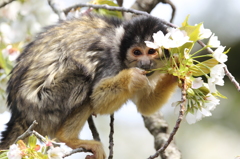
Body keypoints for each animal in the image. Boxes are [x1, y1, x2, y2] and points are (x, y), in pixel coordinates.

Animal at [0, 14, 176, 159]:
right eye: (137, 52)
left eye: (151, 51)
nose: (144, 63)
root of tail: (19, 112)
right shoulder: (109, 61)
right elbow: (97, 100)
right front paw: (131, 78)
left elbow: (145, 105)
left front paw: (176, 74)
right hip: (43, 103)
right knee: (83, 80)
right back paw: (67, 138)